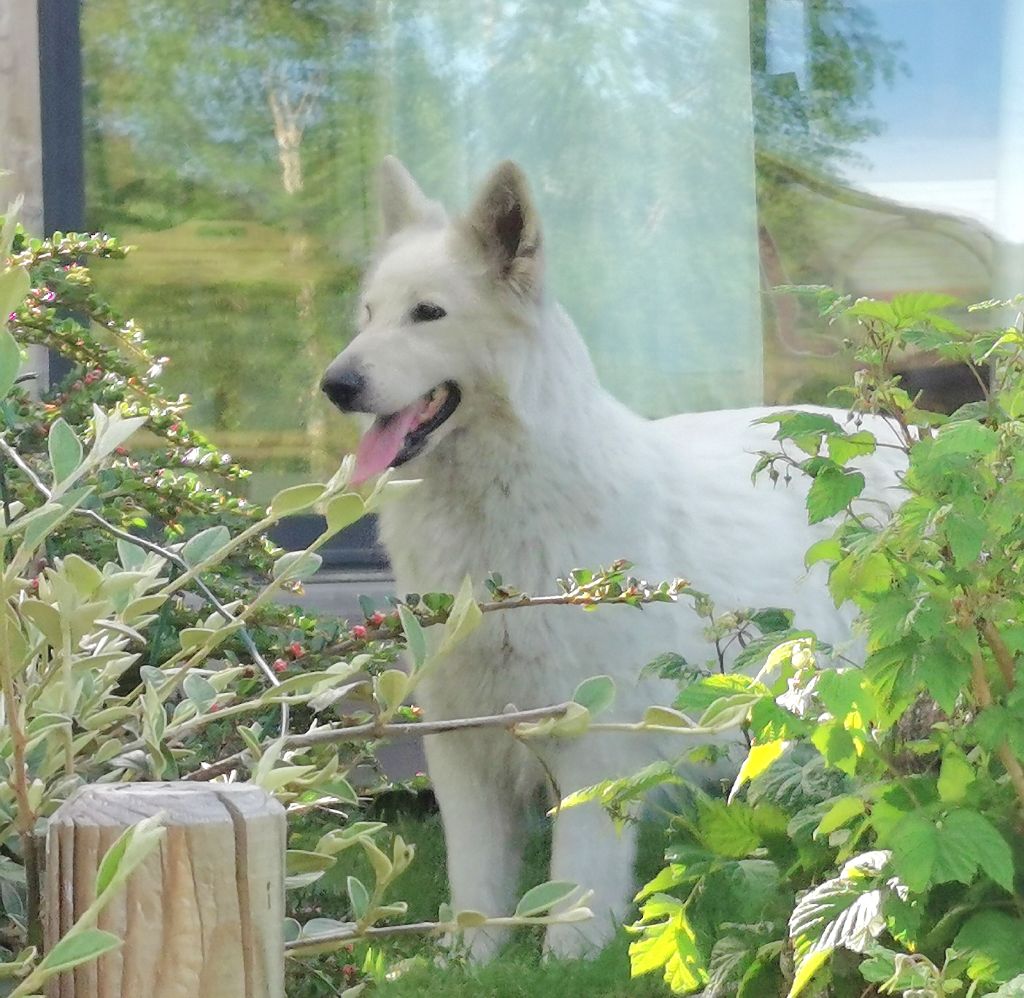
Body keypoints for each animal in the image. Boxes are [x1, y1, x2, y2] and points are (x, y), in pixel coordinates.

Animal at [321, 157, 905, 958]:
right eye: (369, 314)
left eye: (428, 314)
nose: (334, 384)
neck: (500, 511)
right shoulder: (462, 746)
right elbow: (474, 894)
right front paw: (469, 964)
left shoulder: (591, 747)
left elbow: (575, 890)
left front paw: (565, 963)